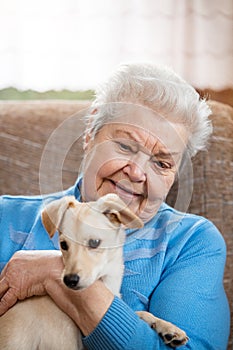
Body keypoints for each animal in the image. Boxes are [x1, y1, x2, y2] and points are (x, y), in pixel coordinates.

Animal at [0, 193, 187, 348]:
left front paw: (167, 327)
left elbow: (141, 313)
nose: (69, 280)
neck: (107, 281)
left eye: (95, 242)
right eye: (63, 245)